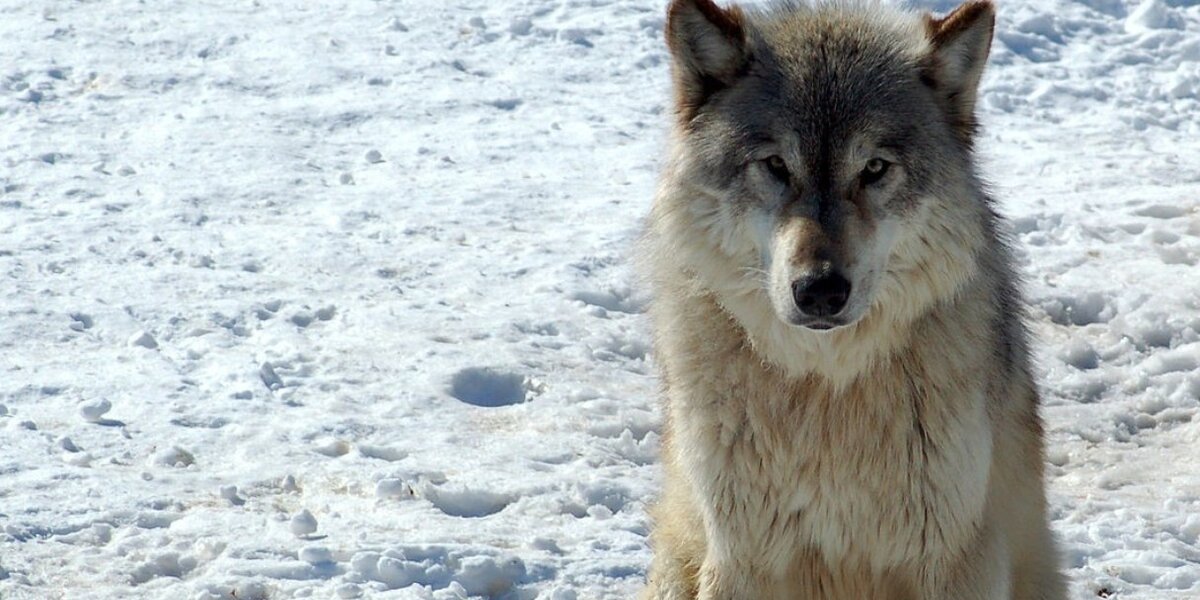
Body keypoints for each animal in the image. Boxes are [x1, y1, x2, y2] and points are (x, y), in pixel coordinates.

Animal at [639, 0, 1065, 598]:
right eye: (776, 165)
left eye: (874, 169)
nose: (820, 289)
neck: (828, 393)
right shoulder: (740, 557)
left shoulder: (956, 558)